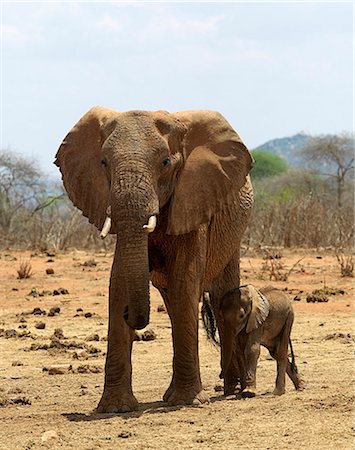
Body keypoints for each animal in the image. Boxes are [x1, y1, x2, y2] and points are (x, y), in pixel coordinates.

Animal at [55, 105, 253, 412]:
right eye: (103, 162)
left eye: (165, 162)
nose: (131, 315)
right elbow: (119, 285)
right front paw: (115, 408)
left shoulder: (193, 199)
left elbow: (185, 282)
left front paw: (188, 402)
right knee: (174, 304)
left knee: (222, 298)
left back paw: (232, 389)